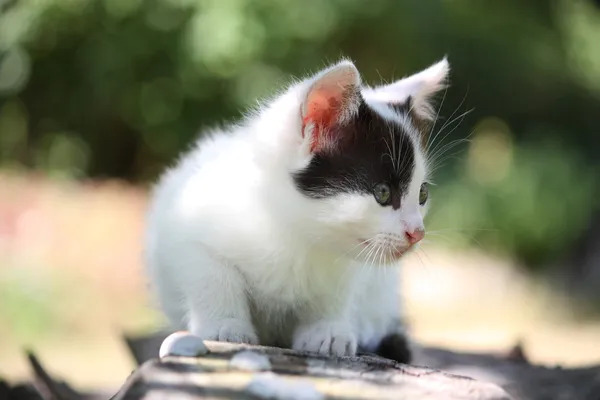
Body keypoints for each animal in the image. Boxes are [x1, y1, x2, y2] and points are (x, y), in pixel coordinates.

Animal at [143, 57, 448, 362]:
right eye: (383, 192)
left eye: (422, 194)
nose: (417, 233)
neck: (296, 234)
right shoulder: (184, 223)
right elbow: (212, 275)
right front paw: (224, 326)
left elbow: (336, 293)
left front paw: (328, 330)